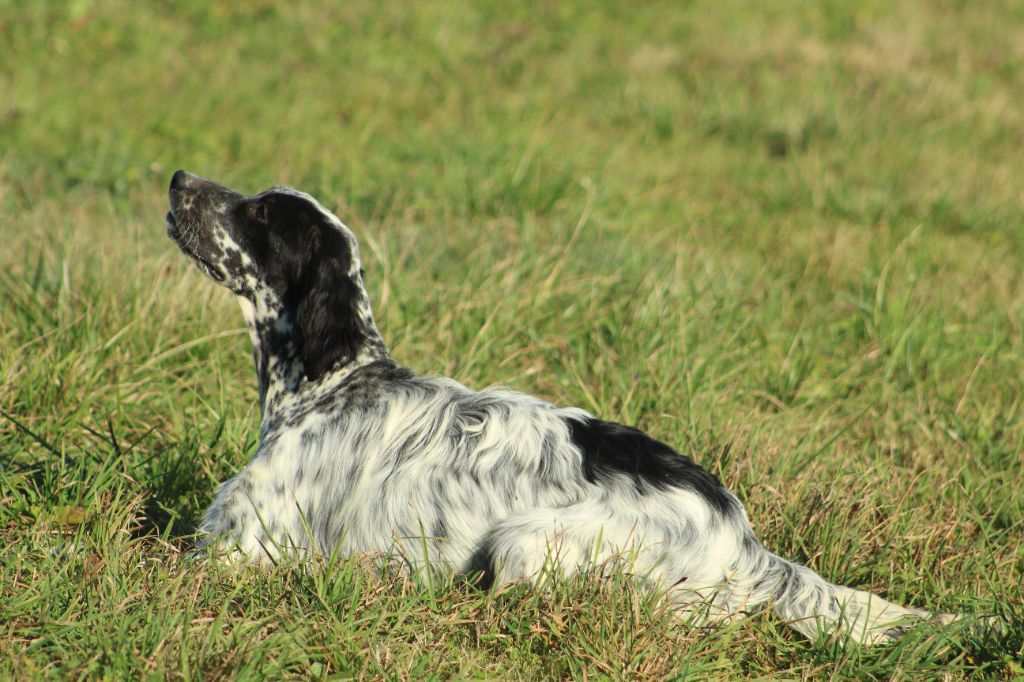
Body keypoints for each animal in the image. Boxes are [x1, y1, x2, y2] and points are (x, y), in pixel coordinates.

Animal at [163, 169, 954, 643]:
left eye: (261, 213)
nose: (178, 179)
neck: (330, 383)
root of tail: (747, 544)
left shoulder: (237, 552)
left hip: (523, 542)